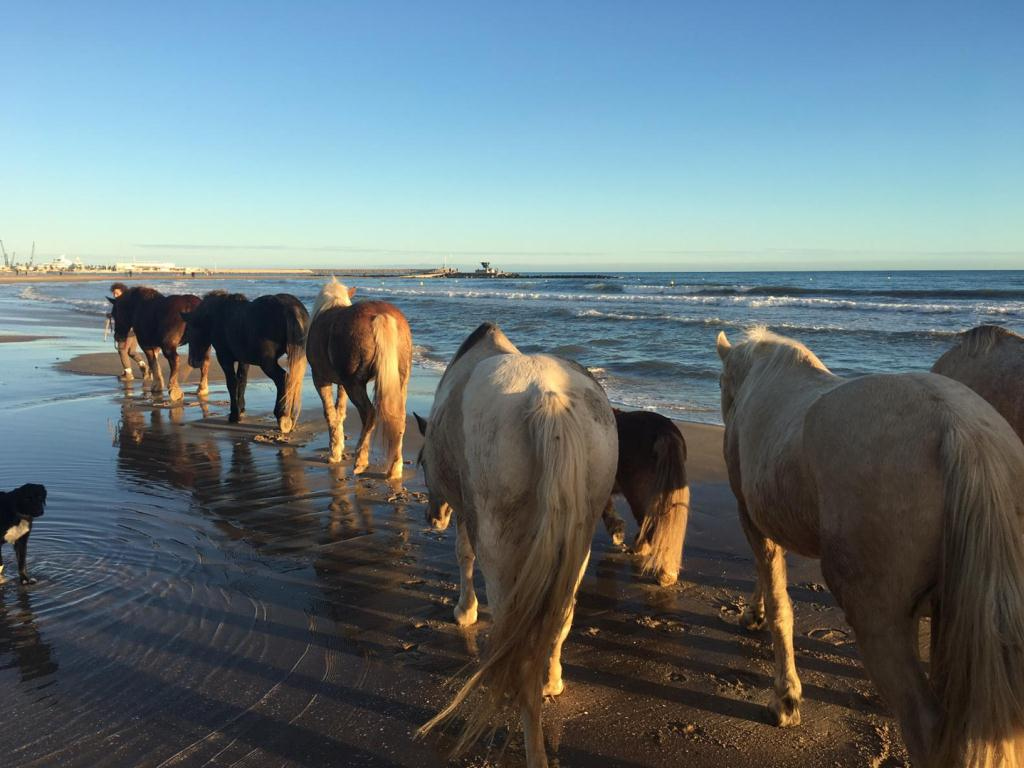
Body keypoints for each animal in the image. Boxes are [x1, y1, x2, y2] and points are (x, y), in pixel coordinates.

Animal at [181, 290, 307, 434]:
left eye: (190, 330)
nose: (193, 362)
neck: (218, 315)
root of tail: (291, 308)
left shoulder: (224, 359)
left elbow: (232, 383)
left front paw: (234, 415)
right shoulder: (244, 360)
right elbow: (242, 382)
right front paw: (240, 410)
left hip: (267, 363)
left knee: (283, 379)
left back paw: (282, 416)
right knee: (293, 380)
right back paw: (291, 416)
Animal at [303, 276, 411, 481]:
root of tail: (381, 315)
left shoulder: (320, 379)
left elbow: (330, 413)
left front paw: (334, 453)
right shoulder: (342, 385)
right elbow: (340, 411)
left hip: (354, 383)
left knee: (369, 413)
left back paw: (361, 460)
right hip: (399, 381)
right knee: (398, 417)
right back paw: (395, 468)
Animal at [413, 323, 614, 768]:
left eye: (419, 460)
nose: (432, 517)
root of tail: (548, 398)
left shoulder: (468, 514)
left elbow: (464, 555)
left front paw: (465, 612)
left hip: (503, 557)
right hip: (578, 544)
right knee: (560, 619)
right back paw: (552, 682)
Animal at [716, 327, 1024, 765]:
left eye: (721, 384)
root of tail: (961, 431)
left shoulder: (751, 514)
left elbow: (779, 602)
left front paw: (785, 699)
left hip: (880, 621)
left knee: (925, 726)